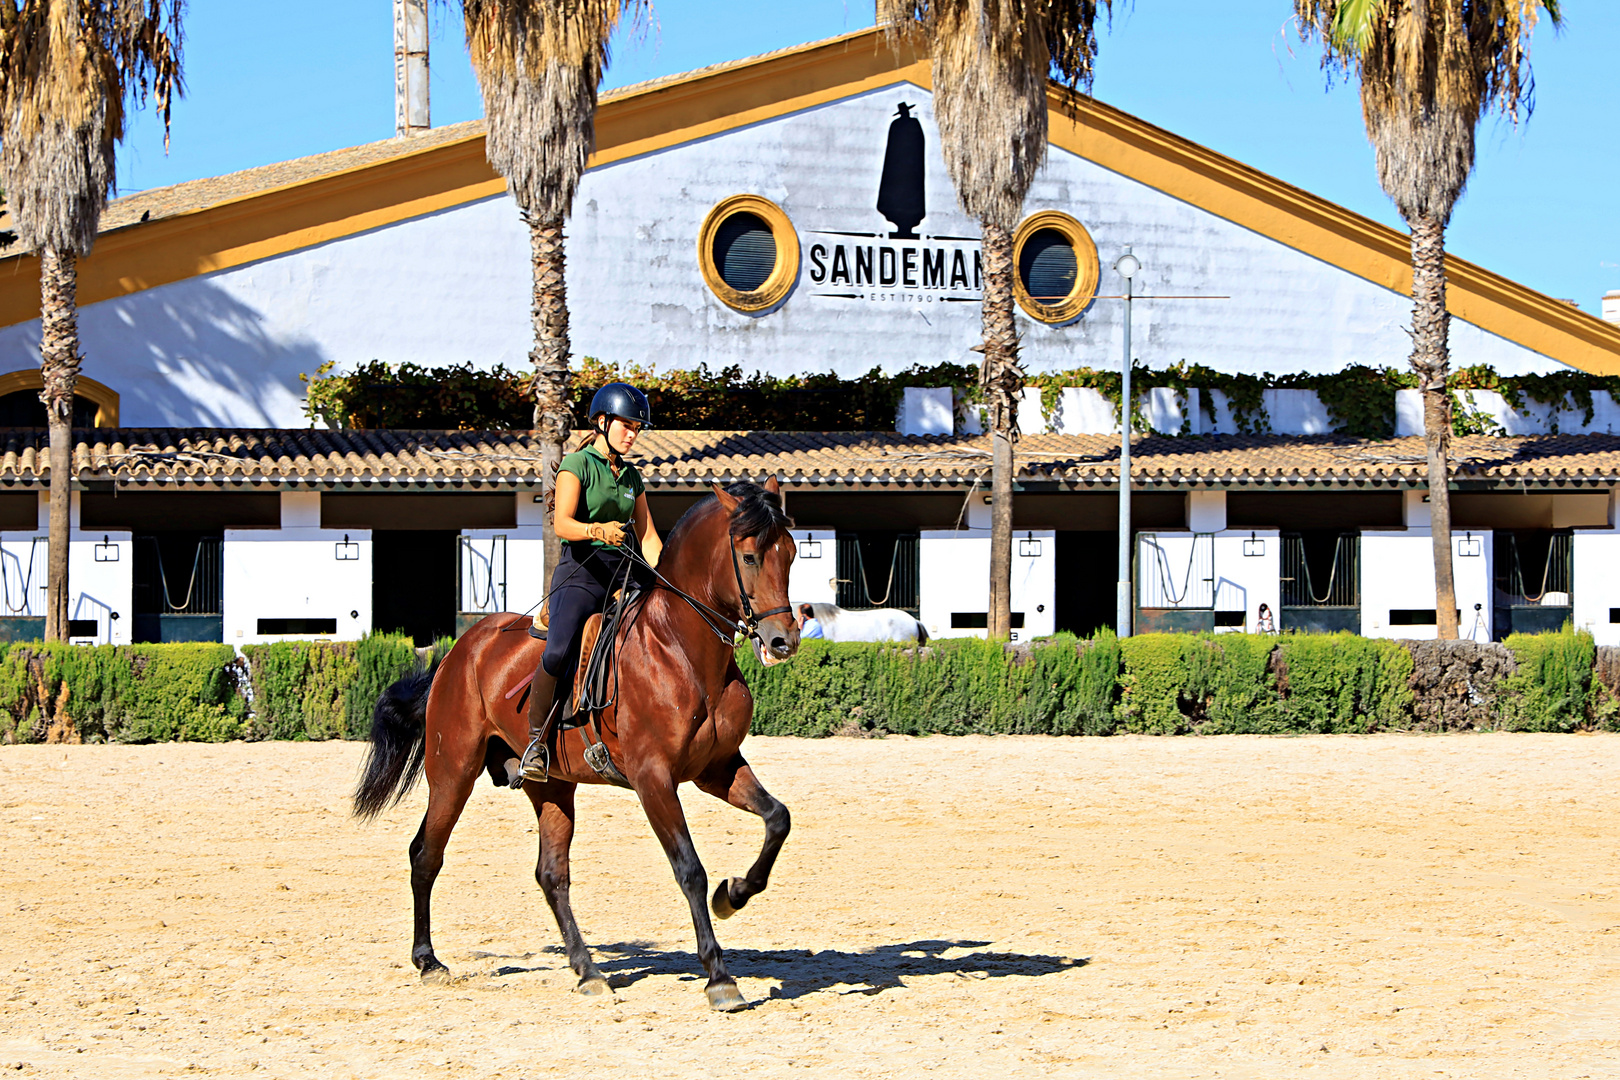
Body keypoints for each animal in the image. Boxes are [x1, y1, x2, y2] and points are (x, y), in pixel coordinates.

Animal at [349, 482, 797, 1016]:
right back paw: (428, 961)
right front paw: (719, 978)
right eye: (749, 557)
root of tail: (460, 648)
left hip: (552, 788)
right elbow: (690, 869)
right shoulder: (653, 779)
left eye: (791, 553)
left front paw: (735, 895)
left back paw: (588, 972)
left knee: (551, 875)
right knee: (426, 855)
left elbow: (777, 819)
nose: (783, 641)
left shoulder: (717, 768)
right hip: (452, 774)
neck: (680, 647)